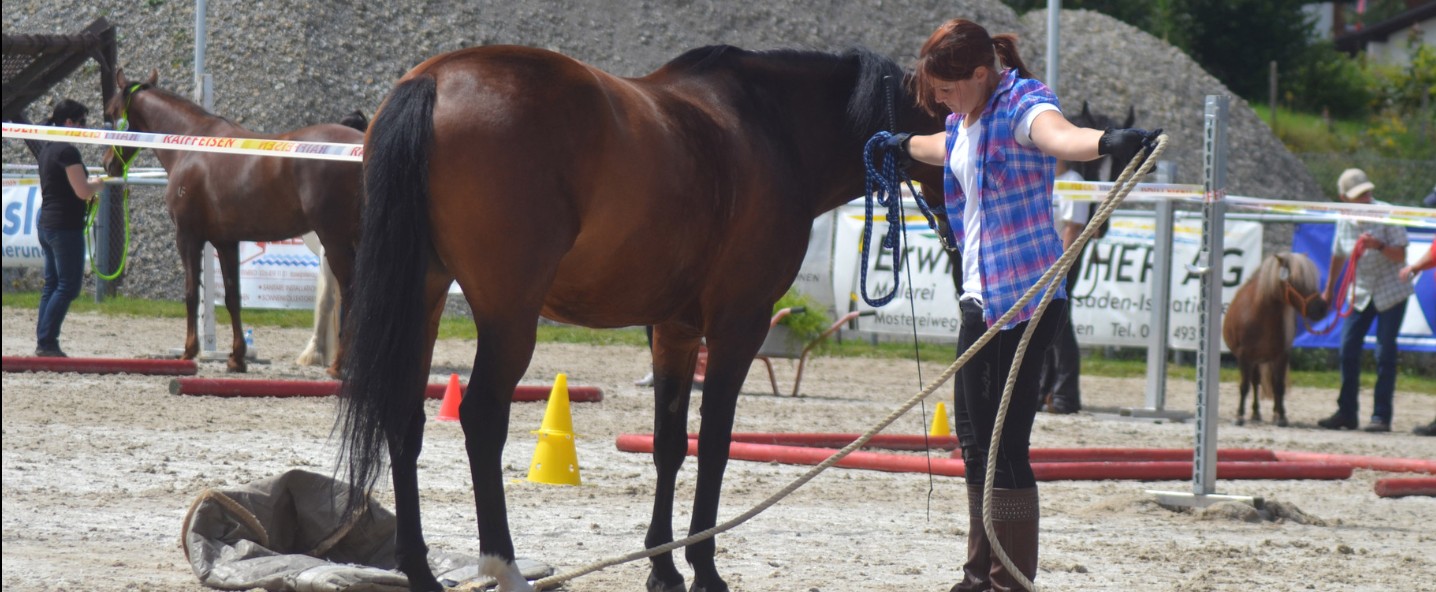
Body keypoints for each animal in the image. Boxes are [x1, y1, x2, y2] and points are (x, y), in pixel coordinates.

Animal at [102, 69, 364, 376]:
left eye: (111, 112)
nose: (108, 163)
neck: (189, 146)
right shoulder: (226, 241)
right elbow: (232, 298)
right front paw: (237, 358)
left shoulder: (188, 237)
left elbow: (191, 293)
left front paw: (189, 351)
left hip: (334, 239)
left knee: (351, 293)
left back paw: (338, 365)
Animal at [338, 45, 944, 592]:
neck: (773, 129)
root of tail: (435, 79)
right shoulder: (738, 324)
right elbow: (715, 442)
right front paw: (705, 570)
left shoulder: (674, 328)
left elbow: (668, 444)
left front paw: (664, 568)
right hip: (509, 316)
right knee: (482, 418)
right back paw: (504, 568)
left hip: (423, 300)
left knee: (403, 417)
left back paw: (420, 571)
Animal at [1222, 252, 1327, 426]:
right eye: (1295, 281)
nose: (1321, 308)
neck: (1260, 315)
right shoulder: (1244, 357)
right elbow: (1244, 386)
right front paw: (1239, 416)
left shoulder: (1281, 356)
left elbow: (1279, 386)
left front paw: (1282, 416)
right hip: (1255, 360)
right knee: (1255, 382)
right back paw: (1255, 413)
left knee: (1270, 382)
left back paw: (1274, 413)